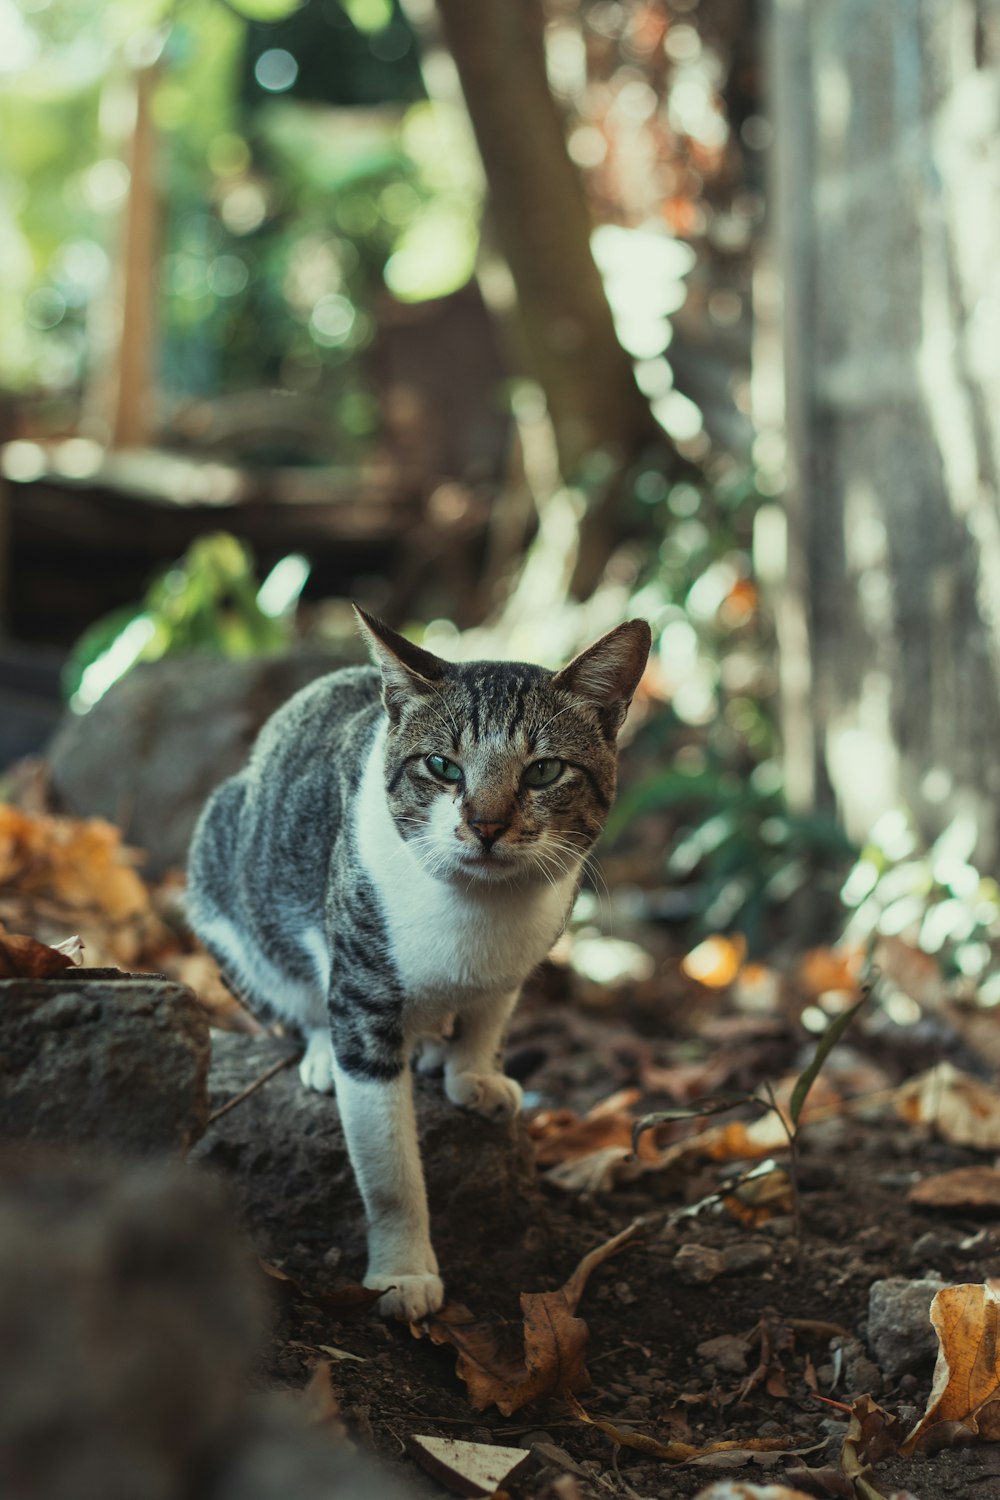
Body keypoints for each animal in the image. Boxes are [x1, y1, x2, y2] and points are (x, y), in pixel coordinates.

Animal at [187, 603, 653, 1320]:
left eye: (544, 771)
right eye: (442, 765)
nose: (486, 825)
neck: (480, 910)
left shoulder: (518, 960)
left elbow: (492, 1013)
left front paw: (473, 1071)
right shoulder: (361, 986)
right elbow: (388, 1167)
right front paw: (403, 1273)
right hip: (222, 874)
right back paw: (322, 1052)